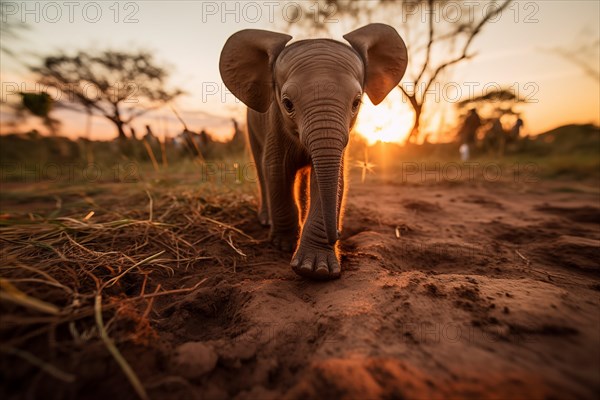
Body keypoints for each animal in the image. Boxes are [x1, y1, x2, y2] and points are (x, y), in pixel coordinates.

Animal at [219, 23, 408, 280]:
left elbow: (332, 180)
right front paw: (284, 245)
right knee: (261, 169)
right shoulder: (275, 124)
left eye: (356, 103)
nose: (337, 234)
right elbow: (276, 172)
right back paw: (267, 220)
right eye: (287, 104)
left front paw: (315, 270)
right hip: (250, 125)